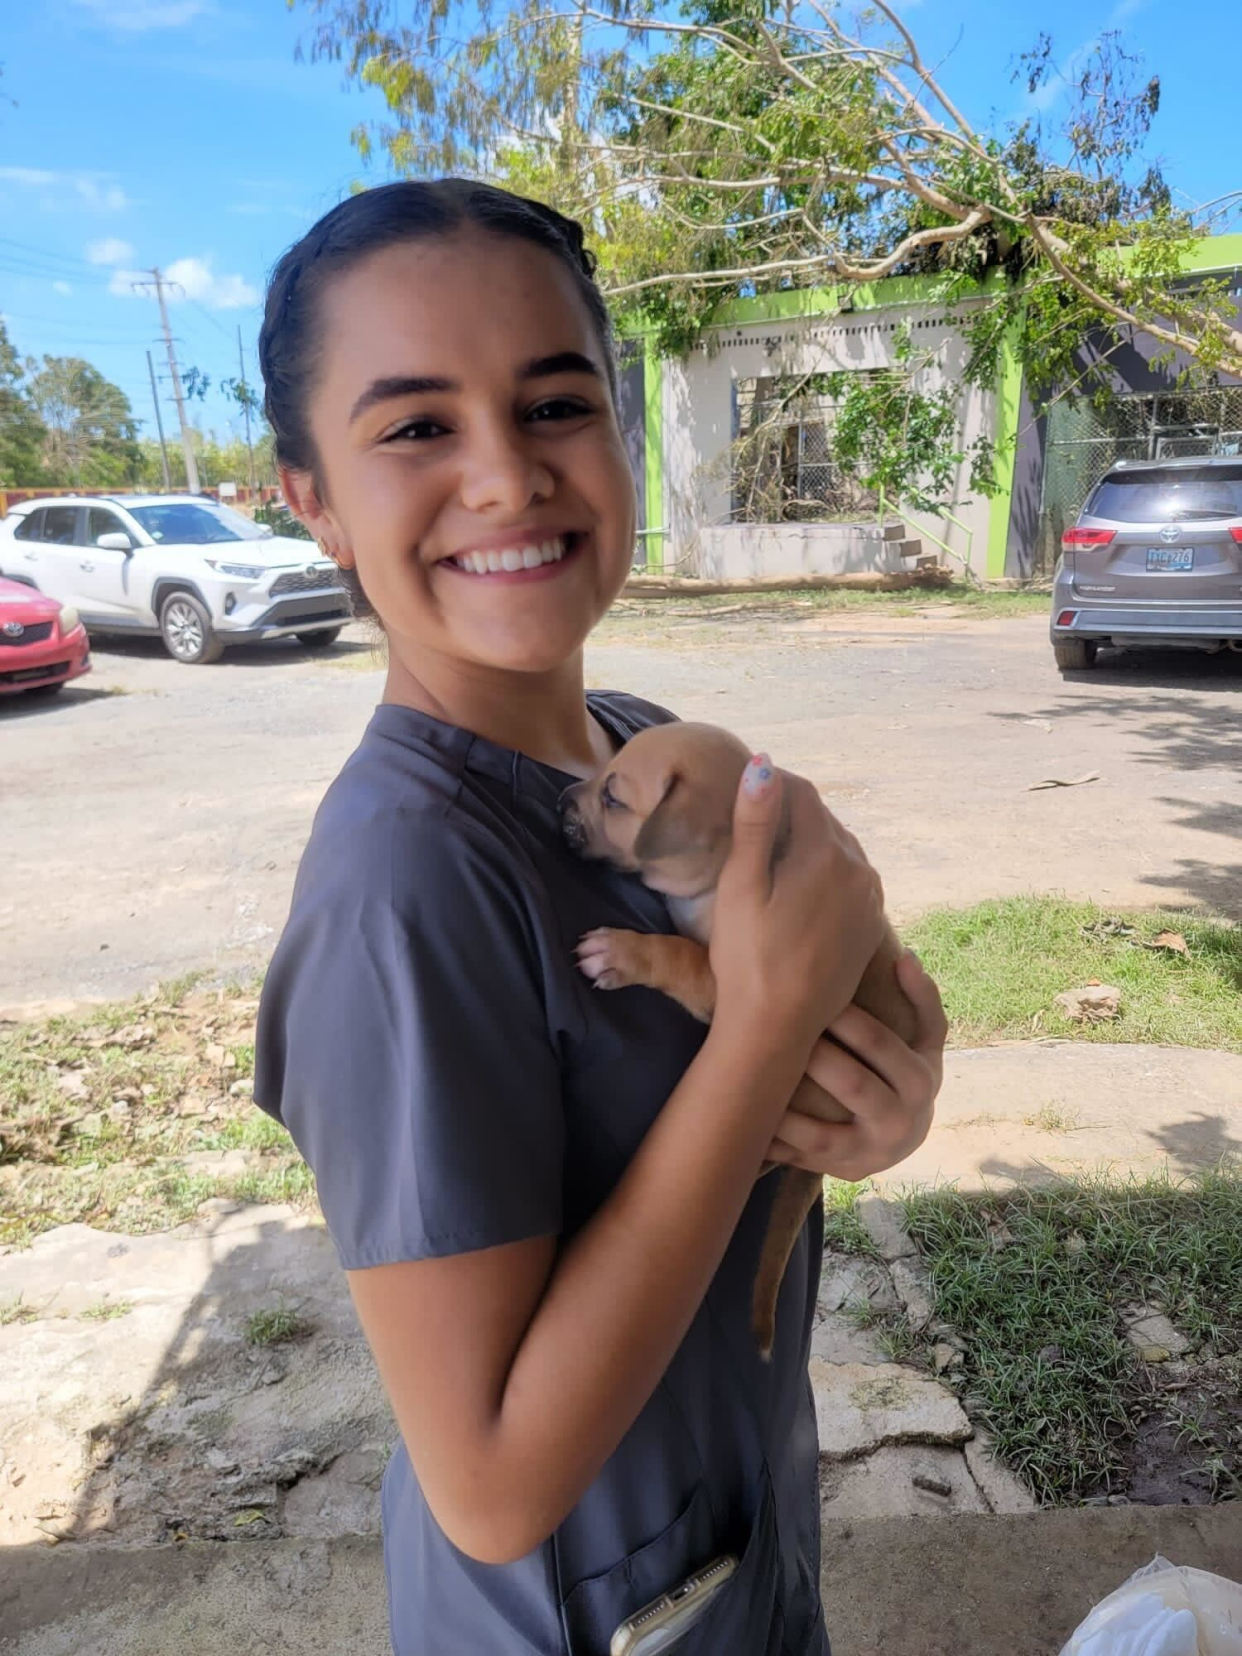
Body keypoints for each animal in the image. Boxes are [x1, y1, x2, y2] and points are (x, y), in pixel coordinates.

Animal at [563, 725, 914, 1357]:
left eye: (613, 798)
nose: (557, 803)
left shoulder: (725, 984)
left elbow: (677, 952)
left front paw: (620, 951)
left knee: (772, 1154)